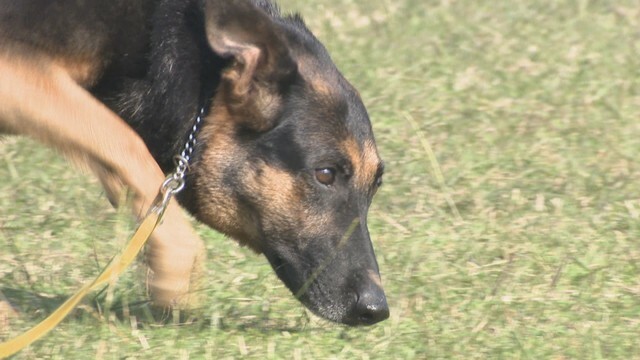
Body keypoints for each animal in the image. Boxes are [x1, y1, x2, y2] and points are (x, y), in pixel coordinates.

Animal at [0, 0, 388, 326]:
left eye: (376, 186)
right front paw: (175, 272)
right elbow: (125, 142)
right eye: (325, 174)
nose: (377, 309)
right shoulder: (16, 72)